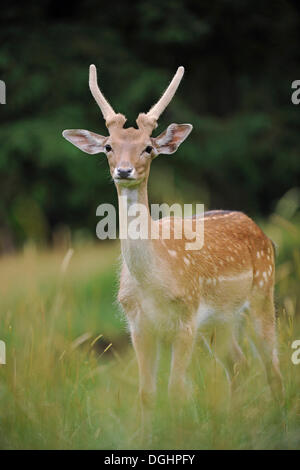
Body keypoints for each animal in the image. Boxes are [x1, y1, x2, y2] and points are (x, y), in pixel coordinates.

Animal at [62, 65, 284, 430]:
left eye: (148, 148)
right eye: (108, 146)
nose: (124, 170)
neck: (154, 280)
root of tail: (261, 231)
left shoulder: (186, 317)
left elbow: (177, 391)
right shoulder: (138, 324)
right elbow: (146, 394)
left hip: (262, 294)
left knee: (272, 365)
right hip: (219, 322)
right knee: (239, 363)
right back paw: (234, 419)